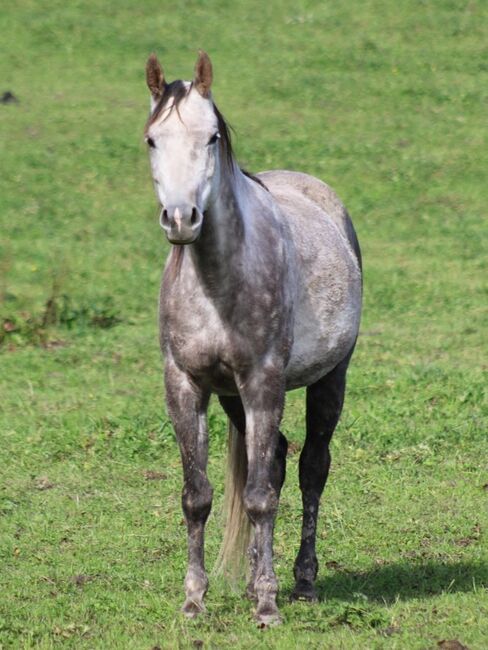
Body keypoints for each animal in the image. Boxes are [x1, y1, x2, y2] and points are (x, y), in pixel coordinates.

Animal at [143, 49, 360, 624]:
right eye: (152, 139)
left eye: (211, 137)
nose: (181, 219)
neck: (218, 280)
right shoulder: (186, 385)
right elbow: (198, 496)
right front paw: (194, 599)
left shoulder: (263, 382)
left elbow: (261, 495)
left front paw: (267, 606)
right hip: (234, 400)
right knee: (279, 462)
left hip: (330, 378)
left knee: (310, 469)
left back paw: (301, 581)